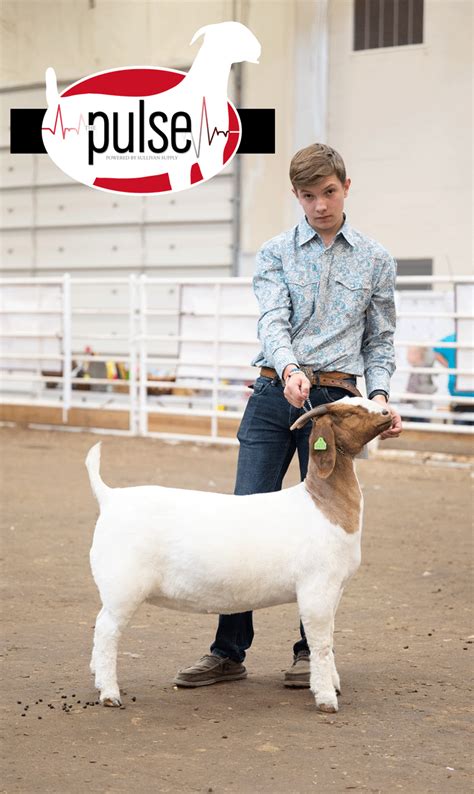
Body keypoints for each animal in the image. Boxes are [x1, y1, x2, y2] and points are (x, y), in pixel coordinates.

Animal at [87, 396, 390, 712]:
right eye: (349, 412)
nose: (387, 412)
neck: (321, 504)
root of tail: (111, 498)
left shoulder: (335, 590)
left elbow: (329, 639)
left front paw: (333, 684)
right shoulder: (316, 589)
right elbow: (320, 644)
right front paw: (326, 698)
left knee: (101, 627)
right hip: (124, 586)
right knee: (107, 631)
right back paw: (109, 693)